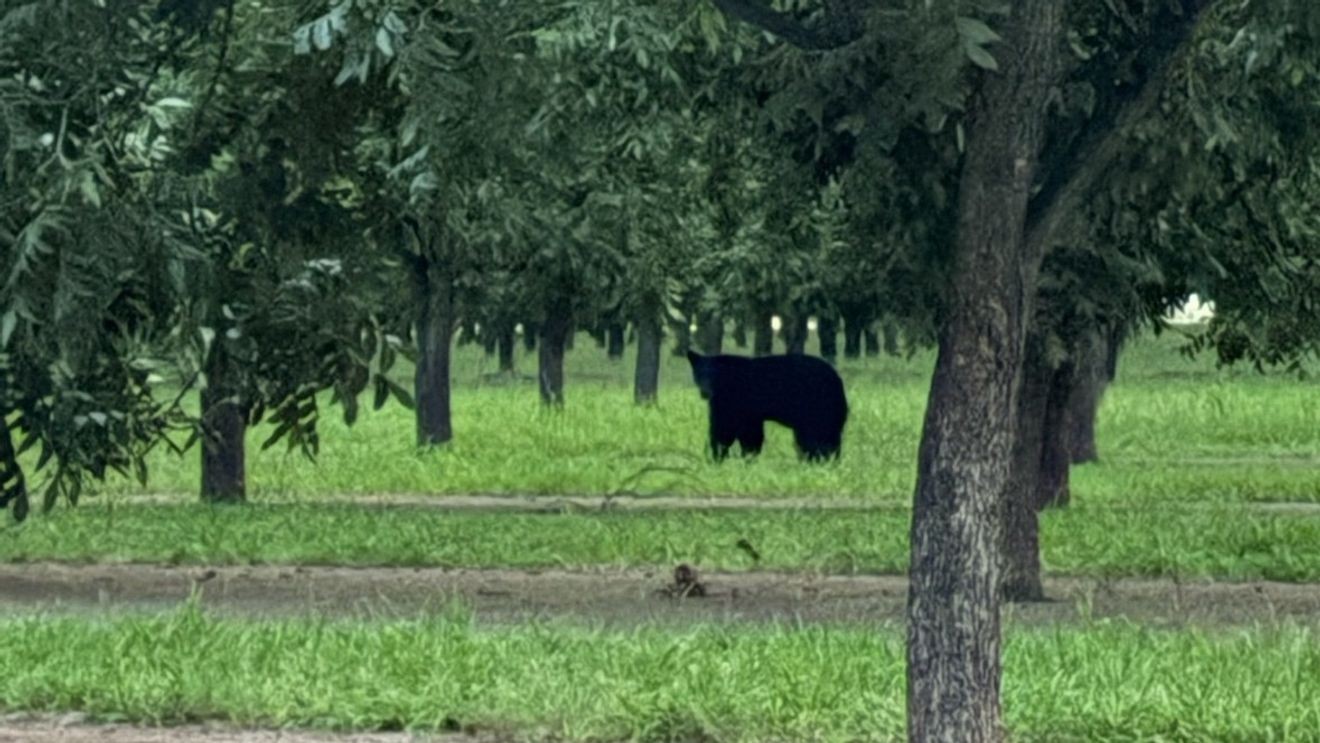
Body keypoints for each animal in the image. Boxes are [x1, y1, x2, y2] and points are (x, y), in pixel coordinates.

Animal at [686, 351, 849, 461]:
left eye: (713, 375)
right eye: (699, 374)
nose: (705, 392)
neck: (727, 383)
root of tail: (837, 379)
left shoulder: (737, 402)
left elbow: (727, 429)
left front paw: (725, 456)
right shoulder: (733, 405)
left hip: (818, 406)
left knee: (819, 435)